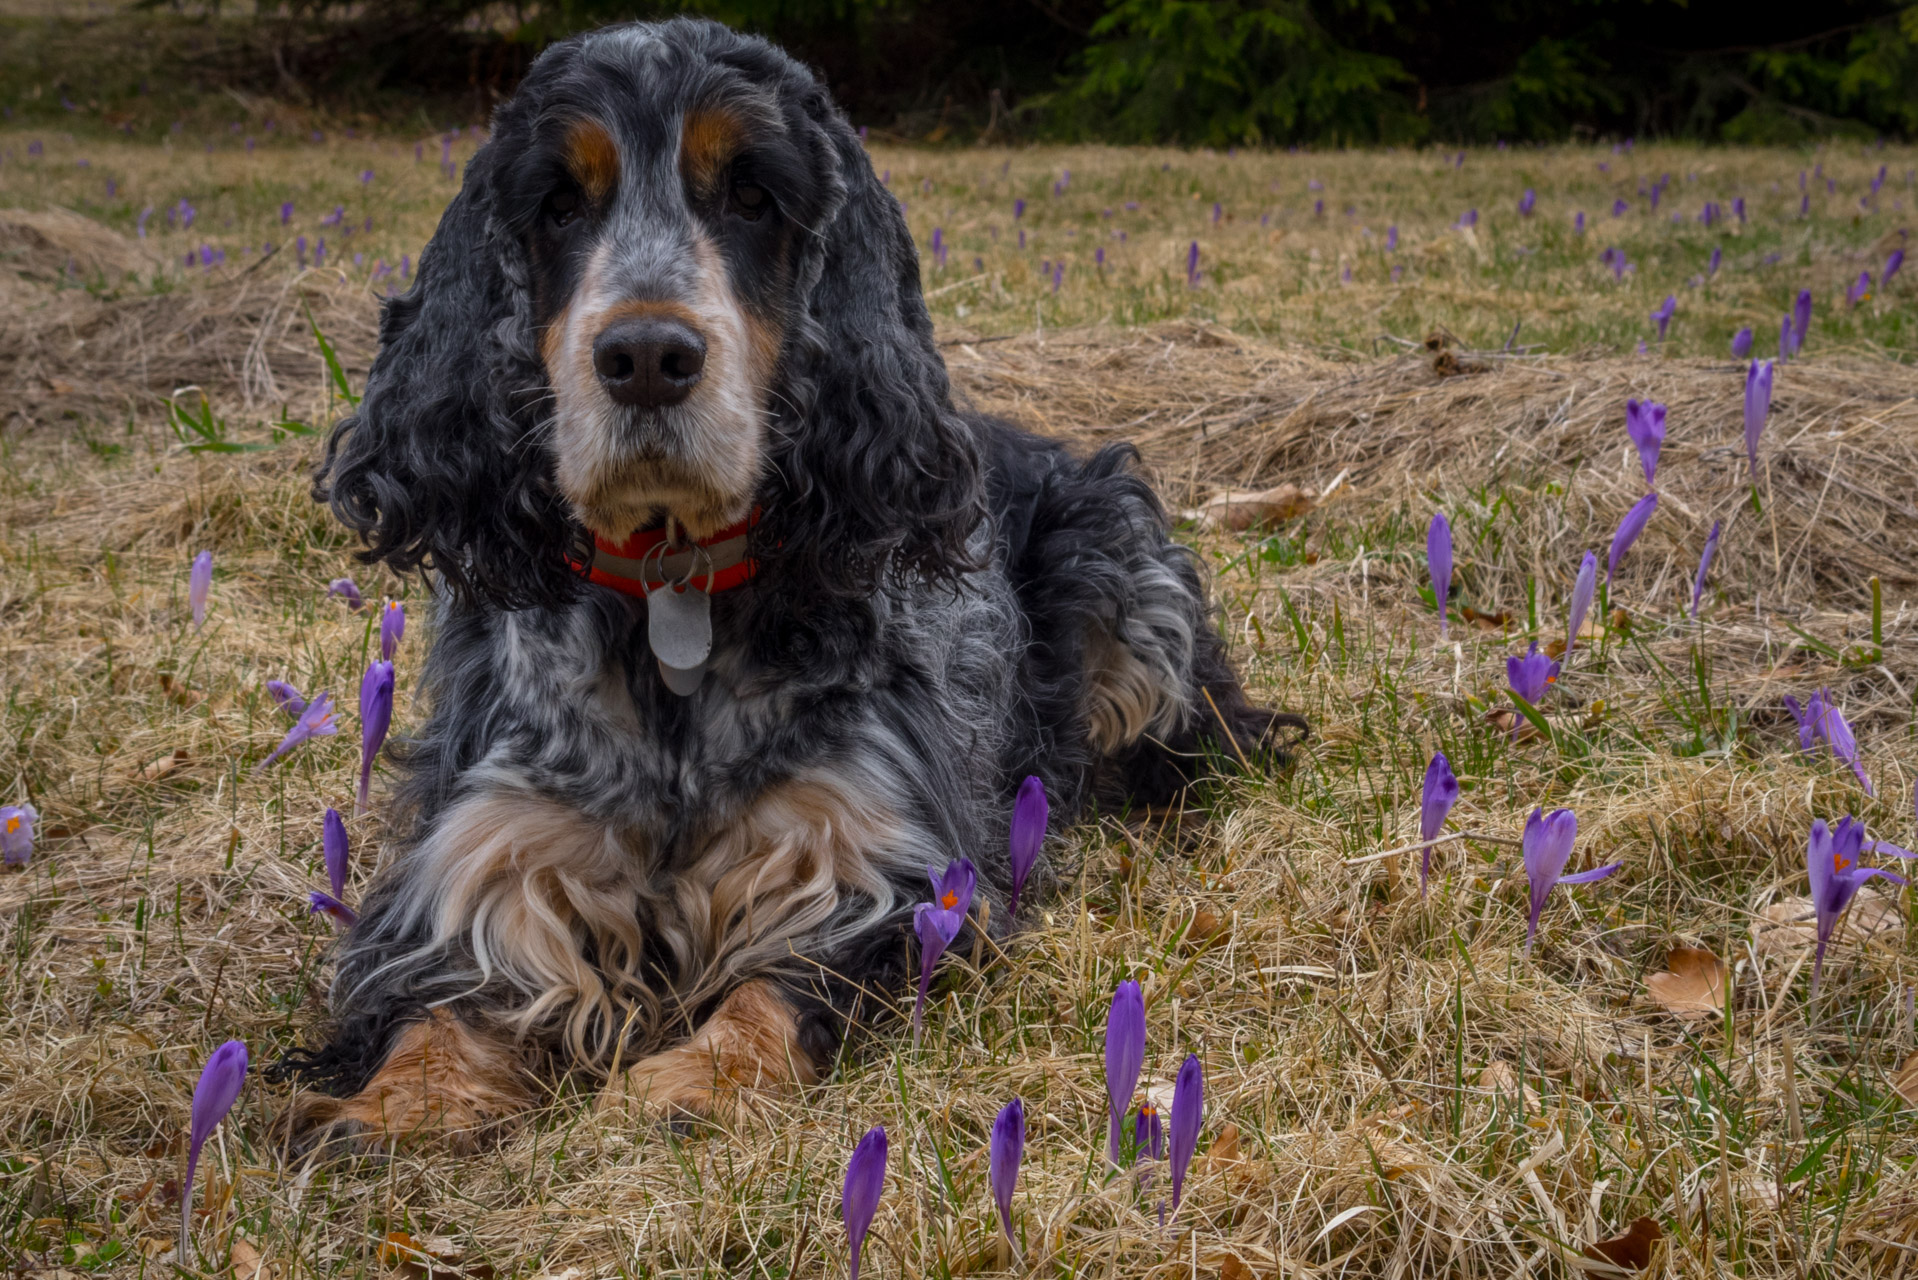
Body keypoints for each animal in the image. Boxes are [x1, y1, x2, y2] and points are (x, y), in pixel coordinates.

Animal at [280, 12, 1304, 1151]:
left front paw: (698, 1079)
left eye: (752, 196)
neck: (675, 595)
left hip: (1129, 580)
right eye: (557, 205)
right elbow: (439, 998)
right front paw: (388, 1103)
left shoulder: (884, 869)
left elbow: (783, 981)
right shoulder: (482, 851)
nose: (647, 356)